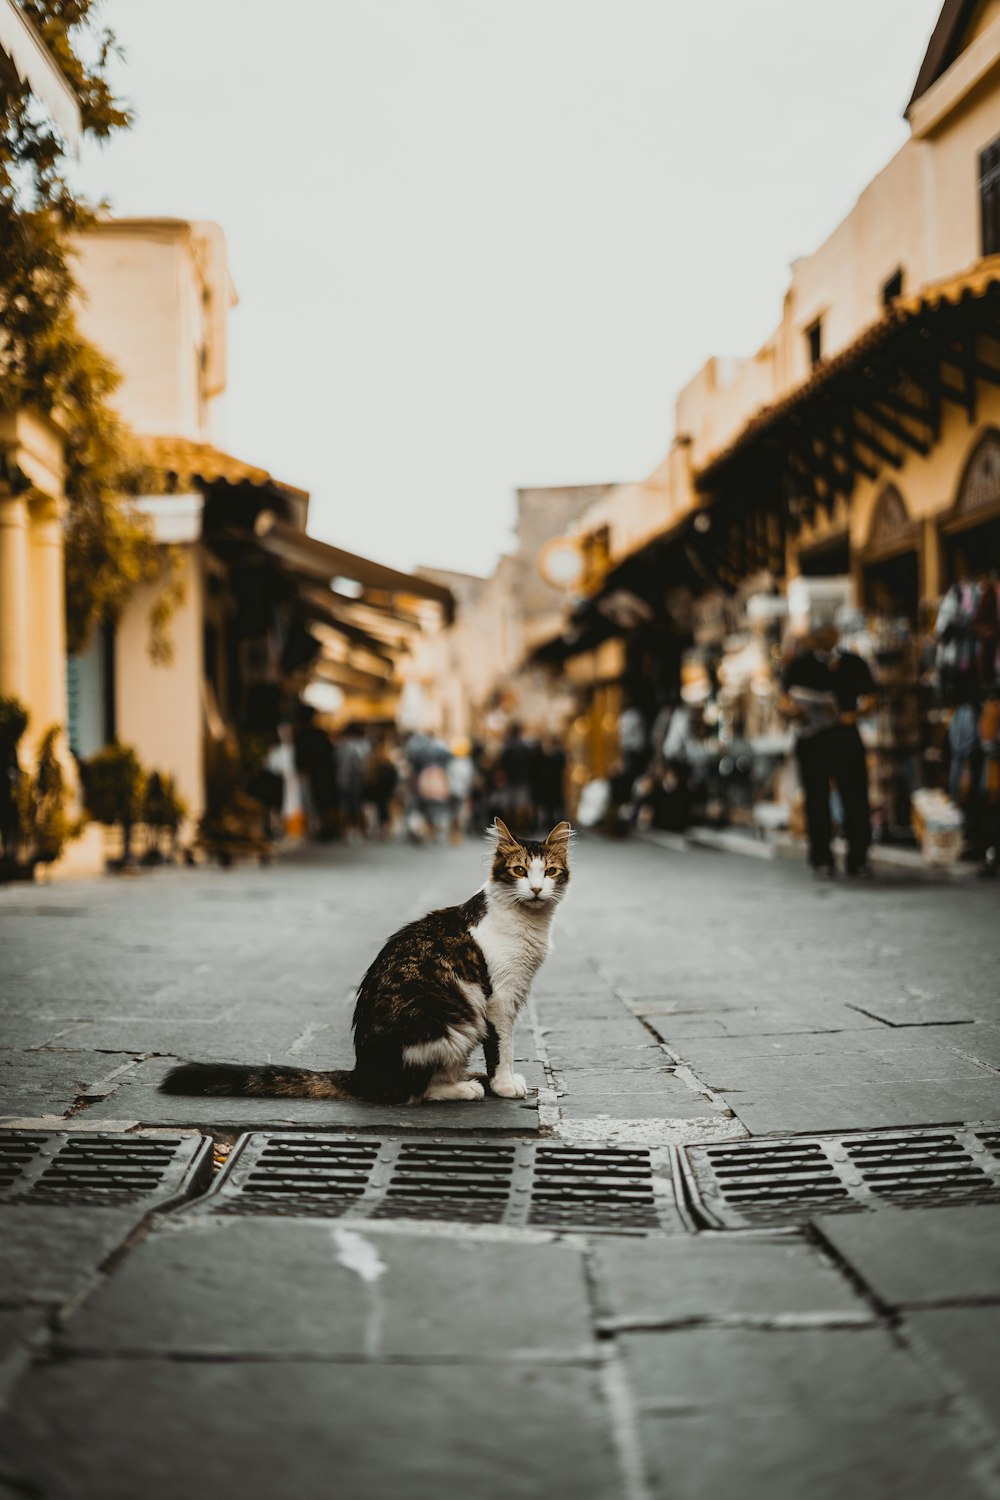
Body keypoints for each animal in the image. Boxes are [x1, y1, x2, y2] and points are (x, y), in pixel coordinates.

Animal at [161, 822, 575, 1104]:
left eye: (550, 871)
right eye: (519, 871)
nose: (536, 889)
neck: (529, 924)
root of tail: (361, 1073)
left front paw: (499, 1082)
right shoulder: (499, 1000)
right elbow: (501, 1048)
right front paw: (504, 1084)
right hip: (452, 1026)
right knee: (414, 1092)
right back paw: (466, 1088)